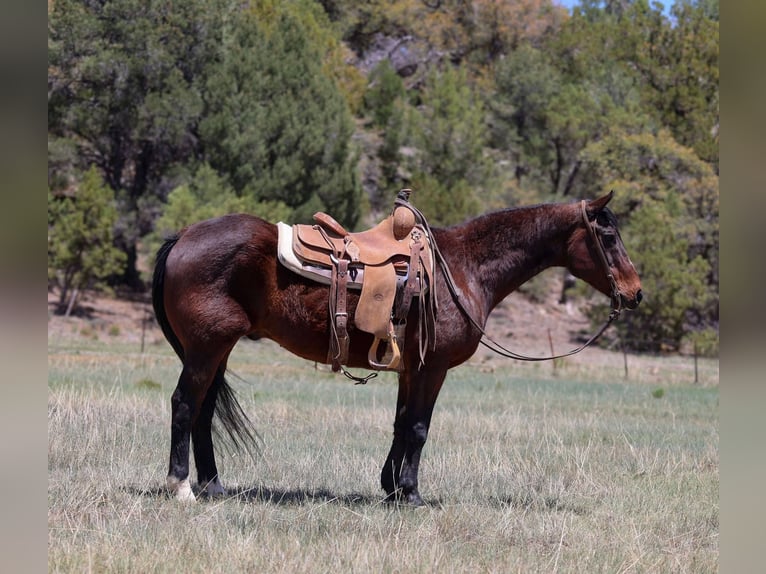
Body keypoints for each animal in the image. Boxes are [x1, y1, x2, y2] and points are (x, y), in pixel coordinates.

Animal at [152, 191, 642, 504]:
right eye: (609, 238)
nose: (636, 293)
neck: (463, 269)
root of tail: (182, 237)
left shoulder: (411, 368)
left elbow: (401, 423)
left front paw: (390, 487)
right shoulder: (433, 368)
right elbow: (420, 427)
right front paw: (411, 493)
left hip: (217, 349)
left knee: (204, 410)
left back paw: (213, 486)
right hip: (207, 347)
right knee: (184, 404)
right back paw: (181, 487)